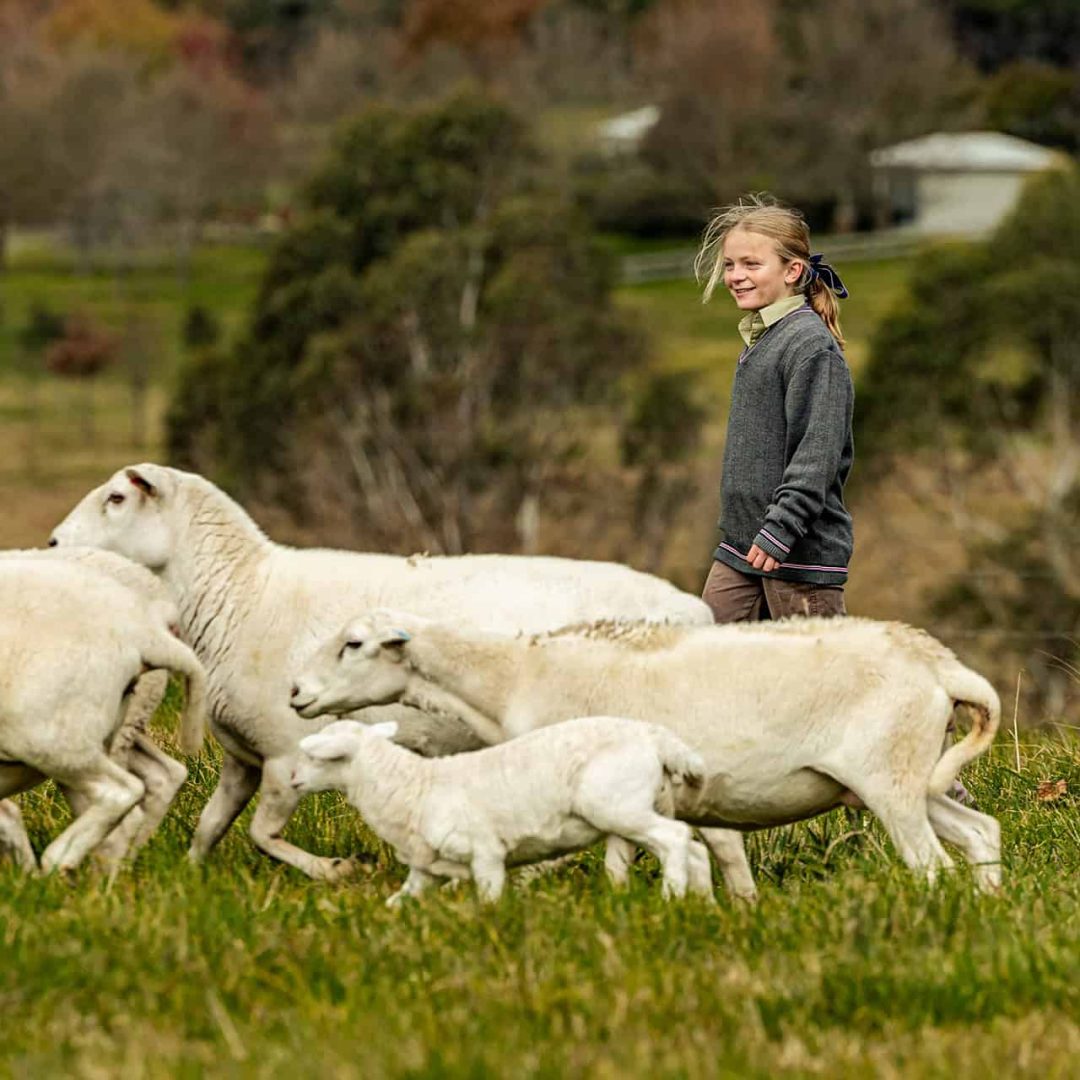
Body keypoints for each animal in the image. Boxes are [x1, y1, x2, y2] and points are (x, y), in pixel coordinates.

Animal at [49, 463, 720, 881]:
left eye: (116, 499)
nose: (53, 545)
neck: (243, 592)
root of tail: (697, 610)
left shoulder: (288, 754)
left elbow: (263, 836)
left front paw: (337, 872)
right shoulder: (244, 757)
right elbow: (209, 829)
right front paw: (181, 882)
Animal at [292, 716, 715, 904]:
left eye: (317, 757)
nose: (292, 778)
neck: (413, 785)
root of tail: (657, 739)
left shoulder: (486, 854)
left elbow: (490, 899)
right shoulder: (425, 871)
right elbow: (400, 900)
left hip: (618, 807)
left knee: (675, 838)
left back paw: (671, 897)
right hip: (640, 807)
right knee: (693, 849)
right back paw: (702, 906)